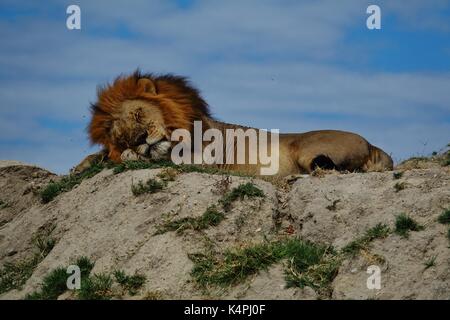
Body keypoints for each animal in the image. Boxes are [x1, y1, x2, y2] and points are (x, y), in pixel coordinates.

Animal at [73, 71, 390, 176]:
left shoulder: (202, 160)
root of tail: (373, 145)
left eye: (139, 114)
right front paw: (84, 164)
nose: (140, 140)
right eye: (123, 137)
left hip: (307, 149)